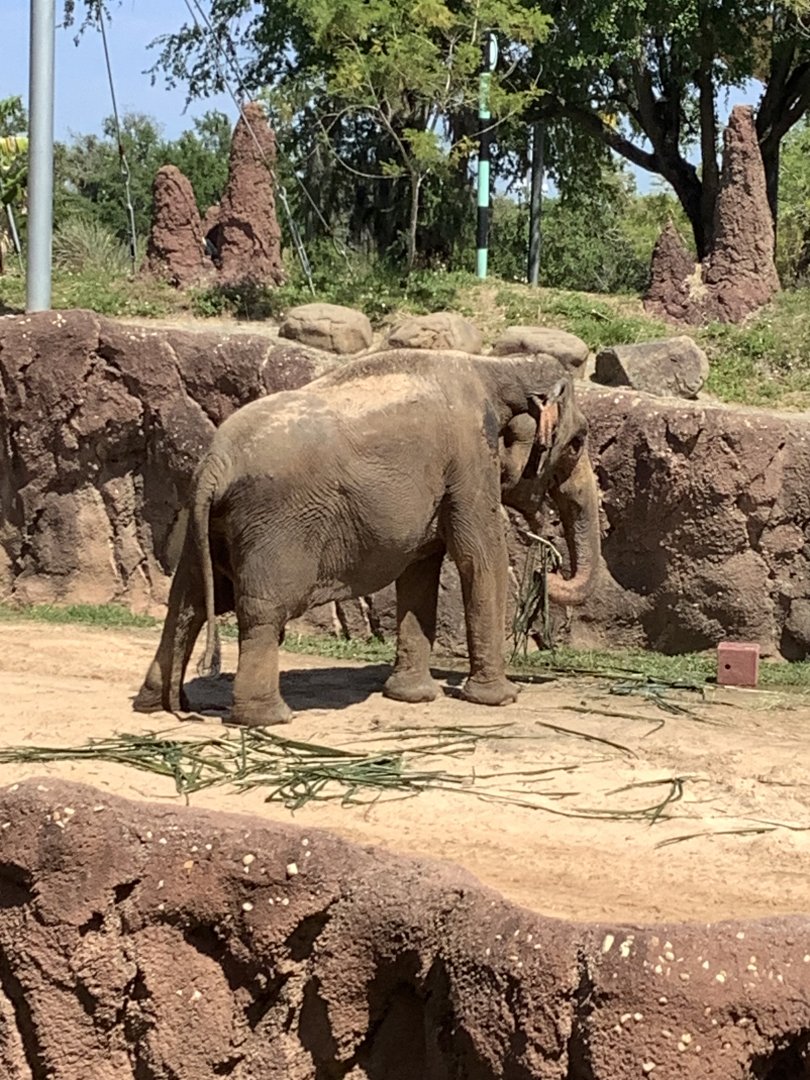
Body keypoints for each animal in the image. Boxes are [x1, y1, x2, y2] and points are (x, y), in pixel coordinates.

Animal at [133, 349, 601, 727]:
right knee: (261, 610)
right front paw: (500, 699)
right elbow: (480, 558)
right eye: (577, 444)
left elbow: (420, 570)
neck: (498, 367)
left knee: (186, 602)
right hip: (274, 526)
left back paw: (162, 705)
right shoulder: (469, 460)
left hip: (209, 526)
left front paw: (413, 697)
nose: (547, 569)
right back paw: (268, 718)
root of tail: (216, 462)